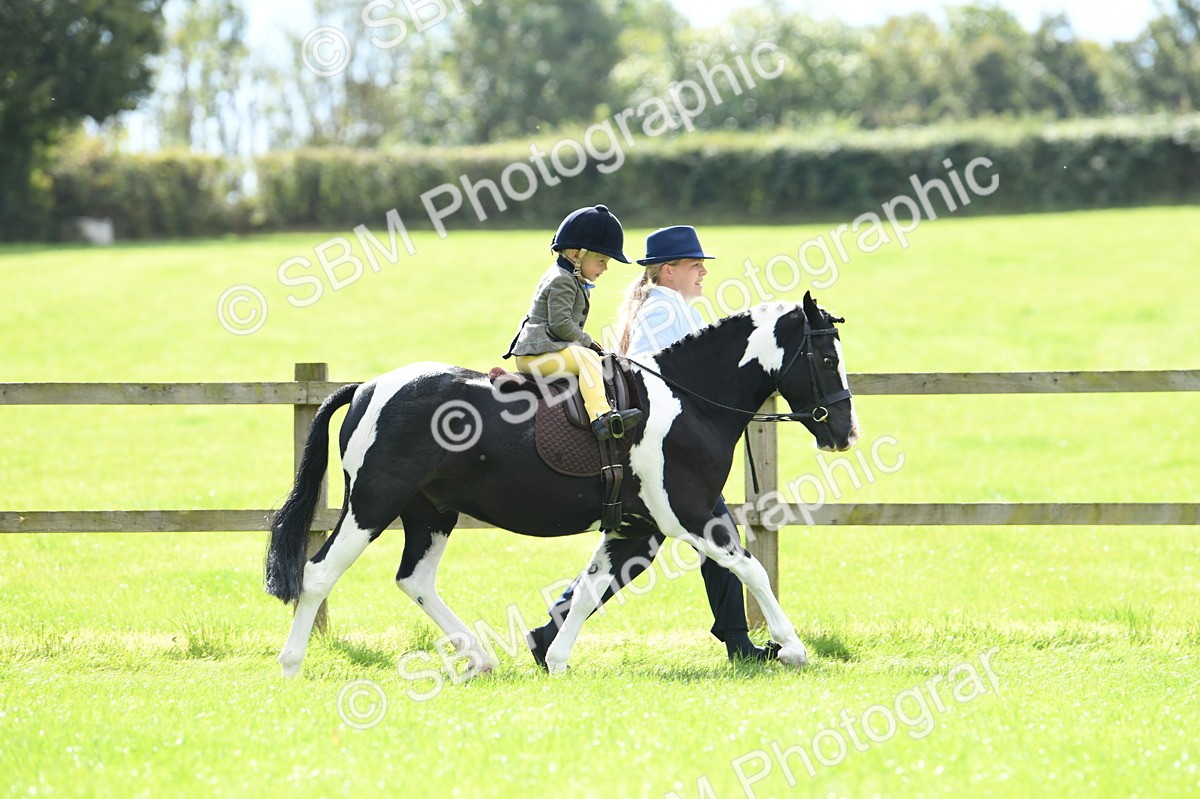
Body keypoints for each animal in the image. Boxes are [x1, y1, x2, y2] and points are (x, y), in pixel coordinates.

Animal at [265, 291, 857, 676]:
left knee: (415, 581)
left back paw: (479, 658)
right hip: (372, 504)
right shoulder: (690, 513)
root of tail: (368, 388)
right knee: (317, 575)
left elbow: (593, 585)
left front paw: (555, 658)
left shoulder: (637, 527)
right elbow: (749, 567)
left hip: (430, 513)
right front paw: (791, 648)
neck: (686, 400)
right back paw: (292, 665)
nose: (845, 433)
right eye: (827, 357)